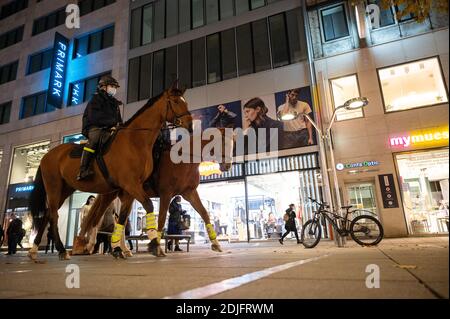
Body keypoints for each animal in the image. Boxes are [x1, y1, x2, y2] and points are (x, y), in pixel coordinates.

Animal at [27, 86, 193, 262]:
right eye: (175, 102)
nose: (190, 125)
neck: (134, 141)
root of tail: (47, 155)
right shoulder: (132, 185)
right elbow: (148, 206)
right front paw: (154, 244)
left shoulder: (130, 189)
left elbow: (123, 217)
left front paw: (118, 249)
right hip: (54, 187)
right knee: (54, 216)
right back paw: (61, 249)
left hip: (65, 189)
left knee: (47, 215)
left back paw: (34, 250)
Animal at [74, 127, 234, 258]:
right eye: (223, 143)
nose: (227, 166)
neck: (183, 160)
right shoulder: (166, 194)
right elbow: (162, 218)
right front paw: (157, 246)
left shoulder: (190, 193)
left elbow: (204, 213)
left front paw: (216, 244)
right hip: (111, 195)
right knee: (97, 220)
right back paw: (90, 247)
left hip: (126, 196)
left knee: (121, 221)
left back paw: (123, 250)